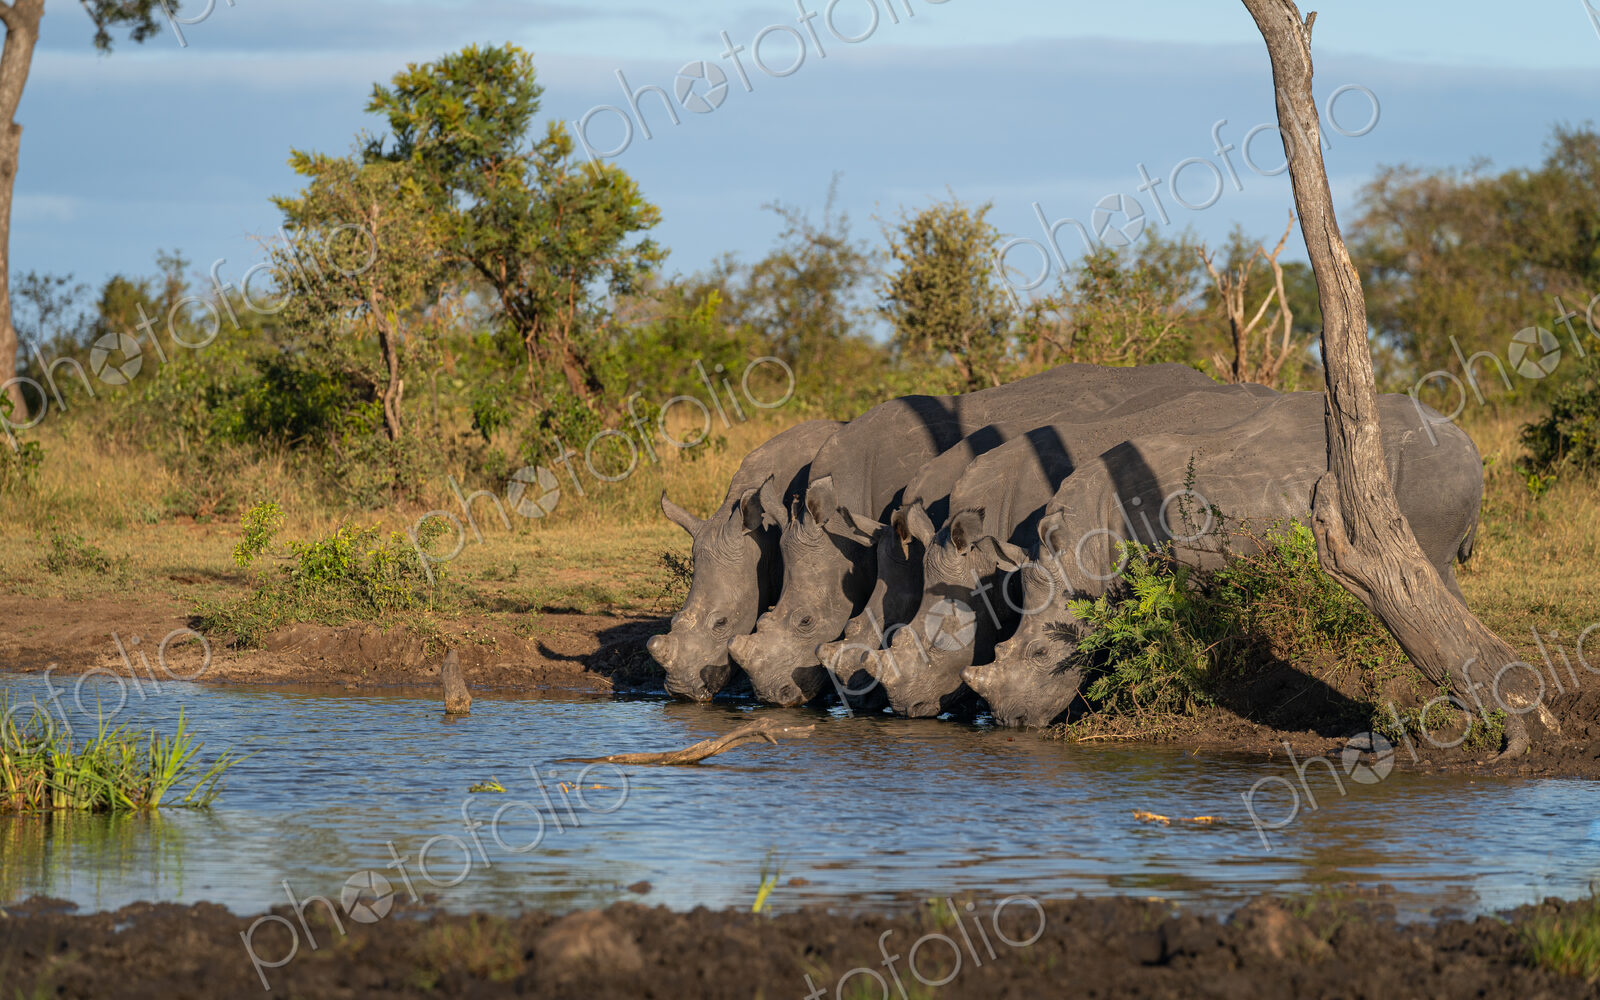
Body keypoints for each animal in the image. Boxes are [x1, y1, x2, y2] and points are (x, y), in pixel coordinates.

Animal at [962, 391, 1485, 728]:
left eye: (1040, 654)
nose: (1011, 721)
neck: (1077, 553)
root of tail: (1468, 440)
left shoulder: (1181, 575)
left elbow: (1177, 639)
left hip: (1428, 470)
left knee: (1427, 568)